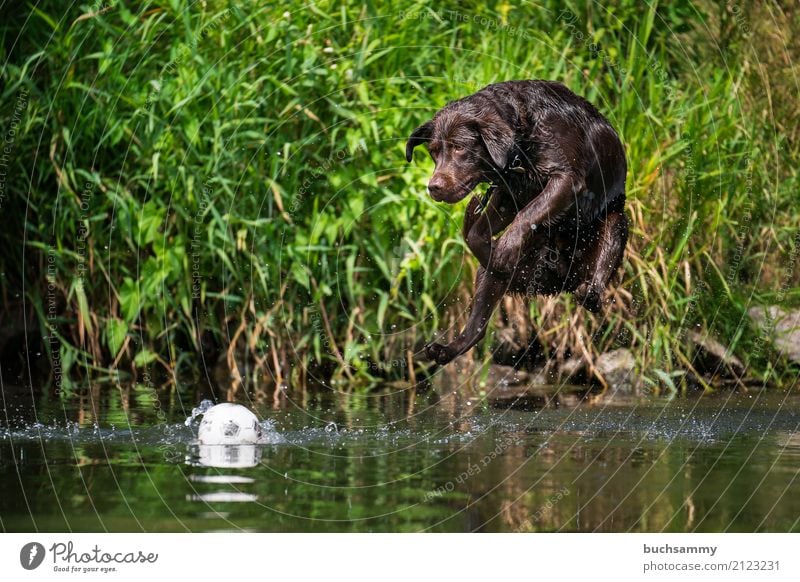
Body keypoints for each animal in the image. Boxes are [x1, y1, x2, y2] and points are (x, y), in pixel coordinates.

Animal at [410, 80, 628, 368]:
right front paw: (494, 251)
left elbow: (528, 214)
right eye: (434, 152)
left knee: (596, 285)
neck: (521, 141)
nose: (433, 187)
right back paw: (446, 349)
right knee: (478, 326)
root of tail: (561, 281)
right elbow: (478, 232)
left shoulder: (566, 179)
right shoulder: (508, 194)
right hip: (496, 276)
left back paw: (588, 291)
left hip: (614, 225)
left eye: (459, 147)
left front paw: (505, 247)